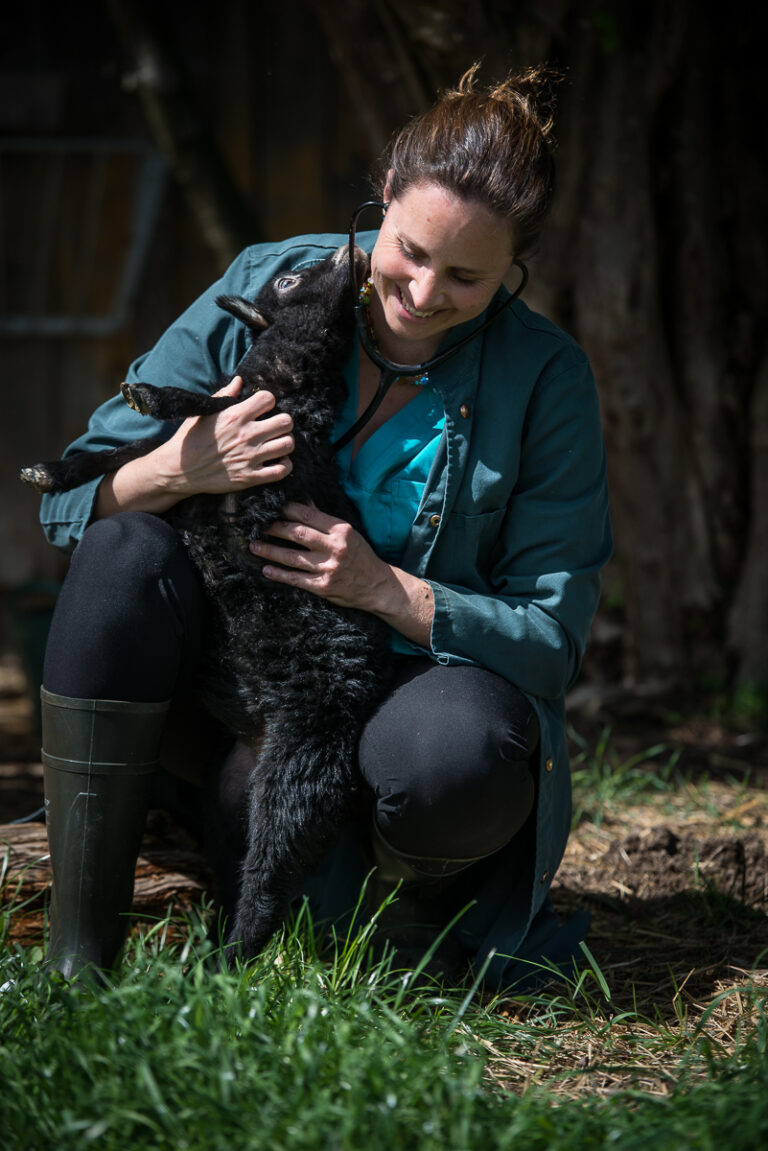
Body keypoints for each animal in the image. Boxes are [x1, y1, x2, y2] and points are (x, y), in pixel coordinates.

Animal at [21, 249, 393, 962]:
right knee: (244, 859)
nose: (348, 249)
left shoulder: (272, 442)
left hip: (304, 767)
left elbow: (203, 406)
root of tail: (260, 732)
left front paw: (151, 395)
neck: (287, 381)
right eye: (287, 279)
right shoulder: (202, 449)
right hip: (228, 797)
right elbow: (129, 452)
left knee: (272, 871)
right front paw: (51, 472)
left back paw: (234, 958)